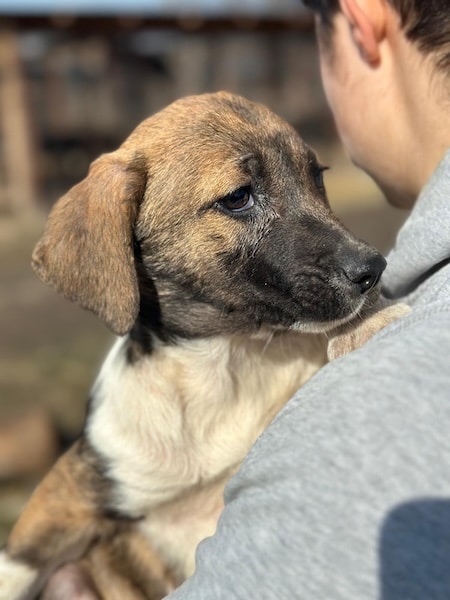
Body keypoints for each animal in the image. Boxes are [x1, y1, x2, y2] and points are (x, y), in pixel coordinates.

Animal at [0, 92, 407, 600]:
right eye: (237, 197)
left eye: (317, 177)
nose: (373, 269)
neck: (223, 361)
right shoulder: (69, 492)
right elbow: (16, 566)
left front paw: (366, 323)